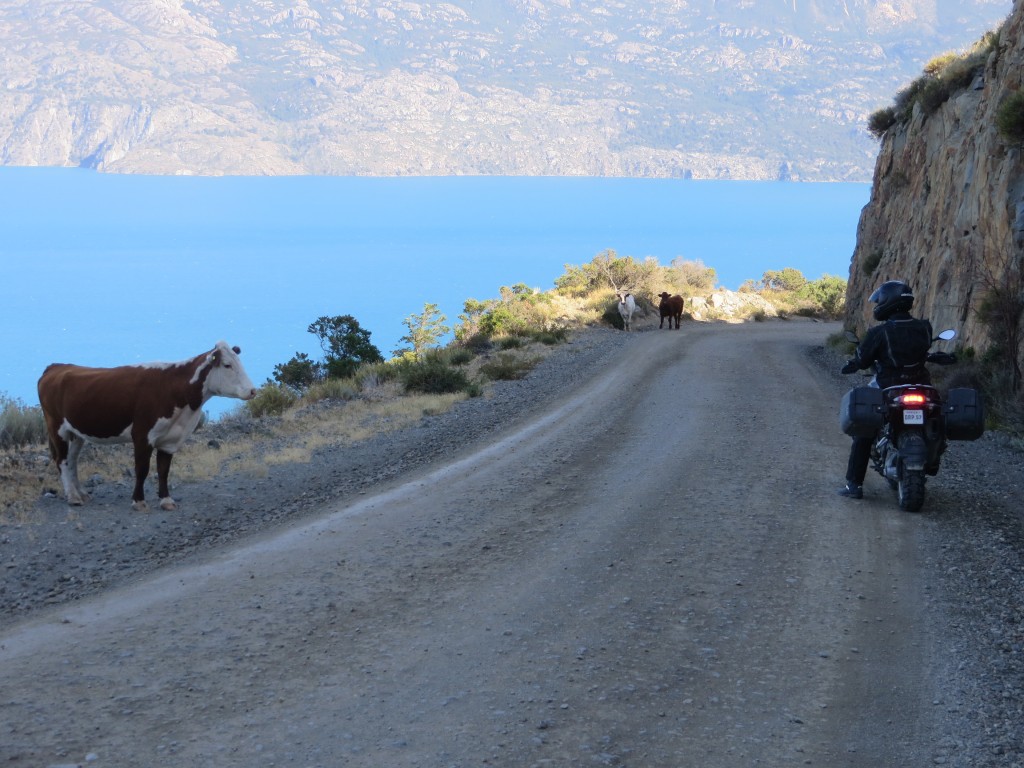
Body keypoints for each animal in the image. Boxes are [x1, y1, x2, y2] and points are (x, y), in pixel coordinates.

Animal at [39, 342, 256, 512]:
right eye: (227, 365)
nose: (252, 390)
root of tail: (56, 367)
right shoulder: (142, 435)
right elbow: (142, 469)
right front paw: (138, 501)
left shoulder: (170, 439)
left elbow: (163, 470)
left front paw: (166, 500)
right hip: (57, 427)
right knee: (62, 460)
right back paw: (73, 497)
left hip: (76, 432)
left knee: (72, 460)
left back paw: (81, 493)